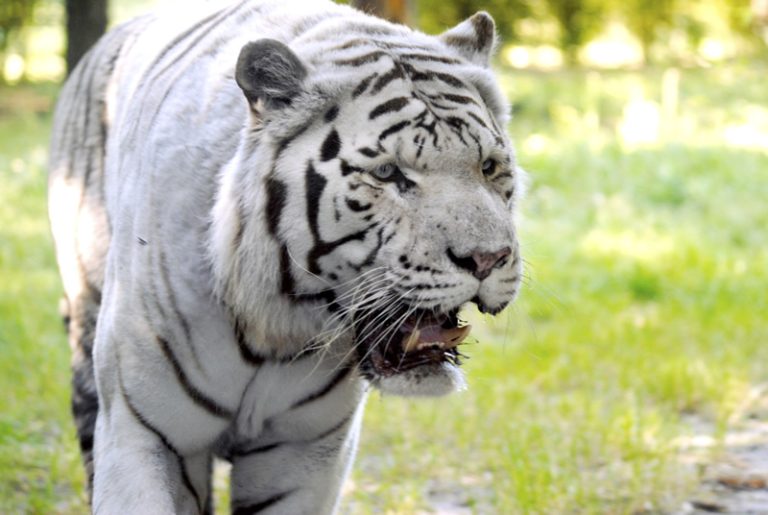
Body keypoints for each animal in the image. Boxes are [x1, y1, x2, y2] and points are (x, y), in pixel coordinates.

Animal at [47, 0, 524, 512]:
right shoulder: (141, 432)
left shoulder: (304, 453)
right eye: (387, 173)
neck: (272, 331)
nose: (488, 258)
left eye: (488, 167)